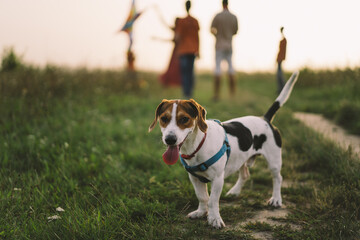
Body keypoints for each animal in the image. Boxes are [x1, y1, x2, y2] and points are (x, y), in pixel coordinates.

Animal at [148, 71, 298, 229]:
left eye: (184, 119)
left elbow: (213, 200)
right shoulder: (194, 178)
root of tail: (265, 119)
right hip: (241, 159)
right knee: (245, 175)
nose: (169, 139)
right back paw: (235, 192)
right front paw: (201, 212)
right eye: (164, 118)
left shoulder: (218, 179)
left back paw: (276, 199)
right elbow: (202, 197)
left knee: (278, 178)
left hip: (274, 161)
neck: (198, 145)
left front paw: (214, 218)